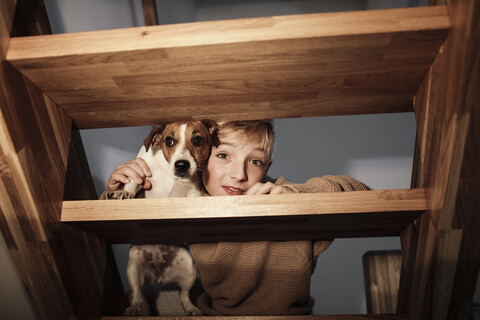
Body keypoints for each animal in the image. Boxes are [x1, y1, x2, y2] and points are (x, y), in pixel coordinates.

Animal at [118, 119, 218, 316]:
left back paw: (191, 308)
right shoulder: (140, 170)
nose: (181, 165)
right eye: (169, 141)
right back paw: (134, 307)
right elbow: (132, 182)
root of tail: (158, 277)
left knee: (183, 295)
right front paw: (126, 193)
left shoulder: (193, 191)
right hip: (133, 269)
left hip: (189, 269)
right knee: (137, 293)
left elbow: (195, 195)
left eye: (198, 140)